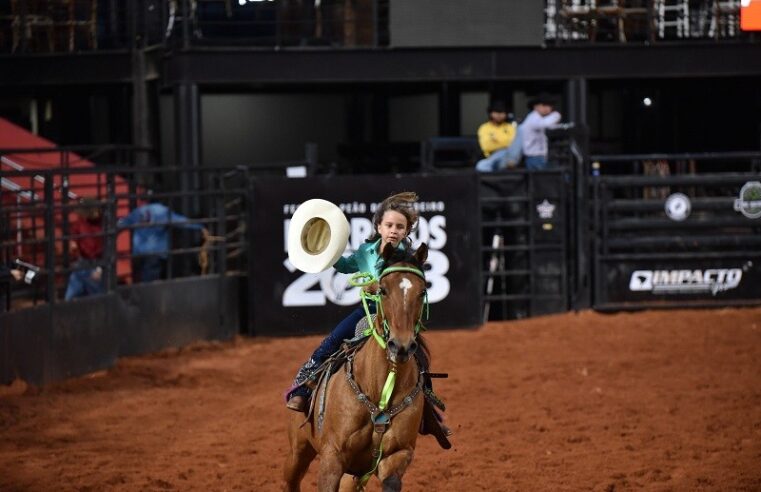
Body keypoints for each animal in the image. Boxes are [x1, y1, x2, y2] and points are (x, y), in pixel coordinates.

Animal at [284, 243, 430, 492]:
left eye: (422, 292)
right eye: (383, 290)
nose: (401, 346)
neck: (379, 389)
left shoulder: (398, 454)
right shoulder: (332, 456)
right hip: (297, 450)